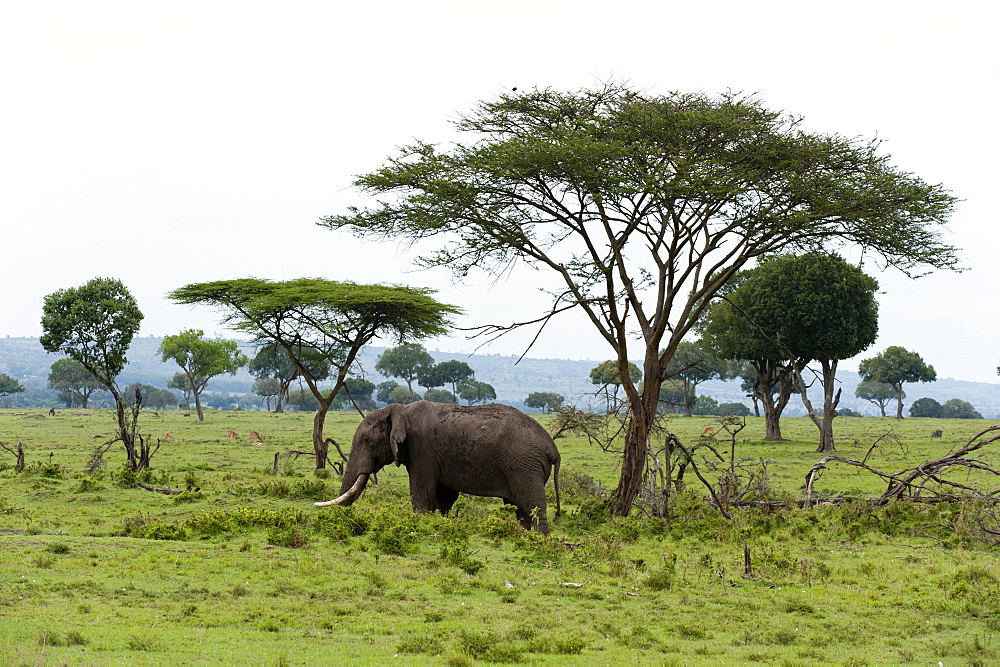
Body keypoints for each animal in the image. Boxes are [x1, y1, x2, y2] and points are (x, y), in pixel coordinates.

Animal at [316, 400, 560, 536]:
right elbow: (445, 497)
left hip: (524, 466)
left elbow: (422, 492)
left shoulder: (422, 449)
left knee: (532, 504)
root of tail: (553, 449)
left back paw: (541, 541)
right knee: (520, 508)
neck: (400, 410)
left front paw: (422, 525)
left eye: (367, 441)